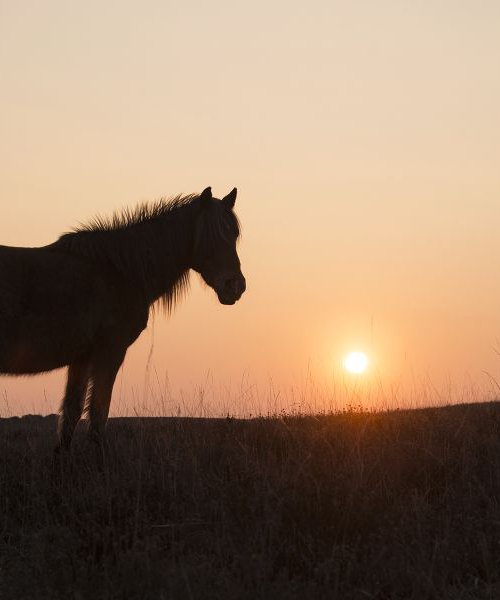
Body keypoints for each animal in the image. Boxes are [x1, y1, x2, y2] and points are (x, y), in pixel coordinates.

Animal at [0, 188, 246, 450]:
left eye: (234, 235)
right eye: (211, 236)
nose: (235, 286)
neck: (121, 270)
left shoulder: (82, 357)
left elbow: (71, 413)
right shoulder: (110, 351)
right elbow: (98, 413)